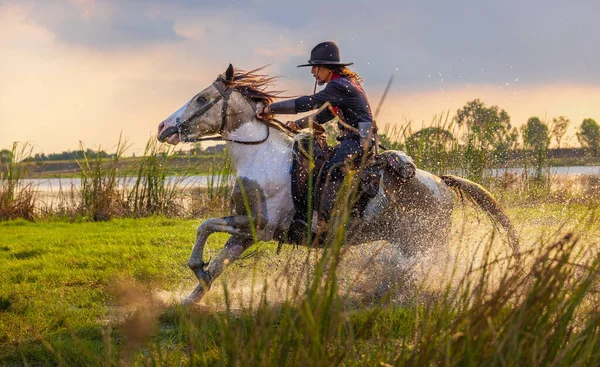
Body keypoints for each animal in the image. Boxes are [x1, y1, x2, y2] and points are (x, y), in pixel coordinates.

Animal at [157, 64, 516, 304]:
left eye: (201, 98)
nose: (162, 127)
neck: (260, 156)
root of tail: (440, 182)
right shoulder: (246, 231)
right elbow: (218, 259)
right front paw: (191, 296)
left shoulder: (262, 225)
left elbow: (205, 225)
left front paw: (197, 269)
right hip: (408, 240)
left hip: (426, 240)